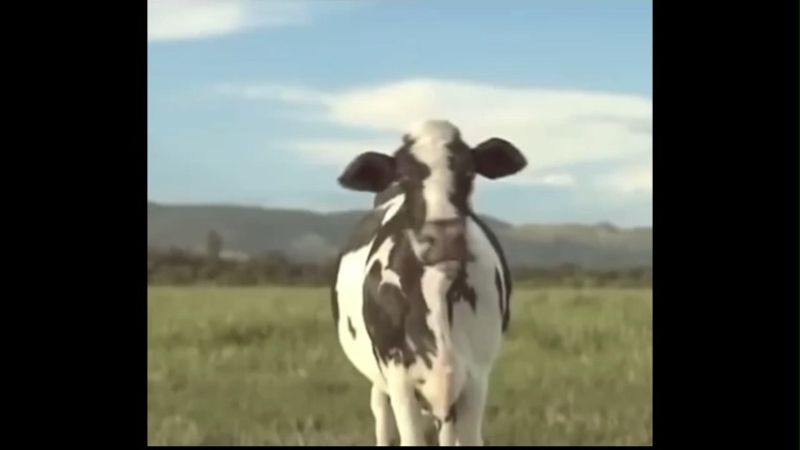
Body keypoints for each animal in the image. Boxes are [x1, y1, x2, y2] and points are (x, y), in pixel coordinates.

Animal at [330, 120, 527, 446]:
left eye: (469, 171)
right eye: (403, 177)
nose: (444, 236)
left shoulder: (476, 377)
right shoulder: (400, 380)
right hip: (381, 385)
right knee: (381, 418)